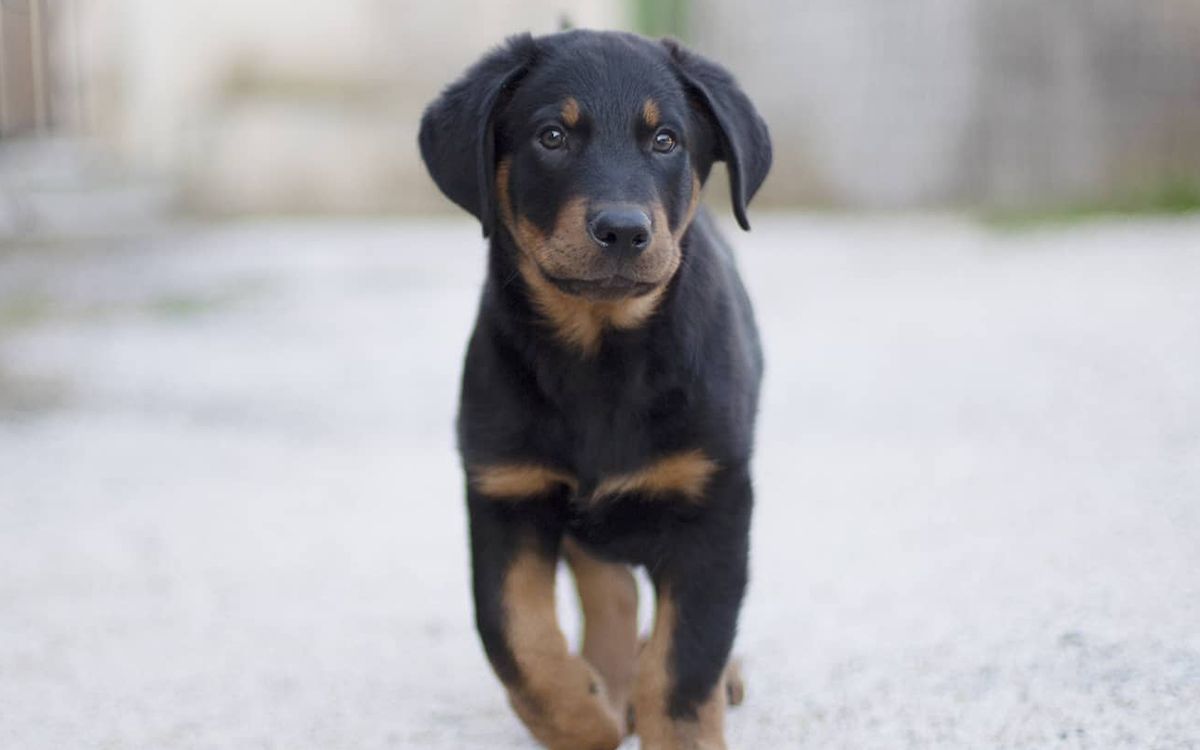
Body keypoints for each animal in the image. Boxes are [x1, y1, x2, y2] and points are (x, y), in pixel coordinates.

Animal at [422, 29, 772, 748]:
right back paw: (610, 681)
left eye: (665, 140)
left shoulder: (714, 500)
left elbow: (687, 658)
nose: (624, 230)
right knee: (611, 592)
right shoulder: (504, 490)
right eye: (552, 136)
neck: (599, 356)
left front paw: (680, 724)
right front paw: (586, 718)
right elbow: (514, 637)